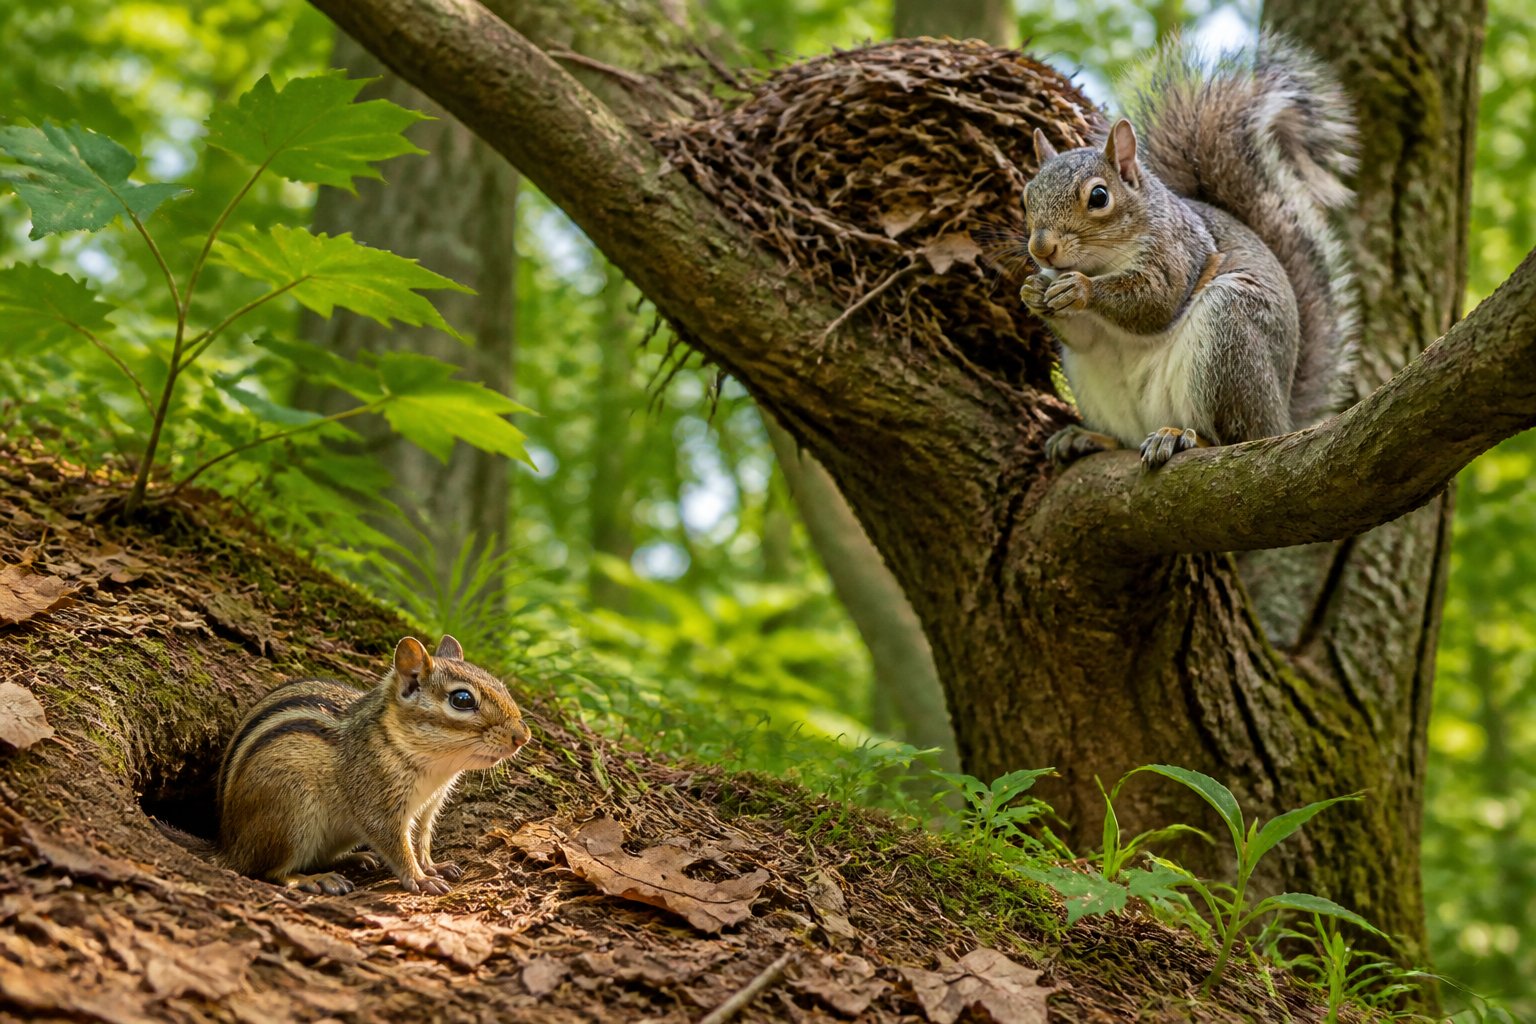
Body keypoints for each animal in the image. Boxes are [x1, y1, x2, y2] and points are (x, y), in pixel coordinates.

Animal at [215, 635, 531, 896]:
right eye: (462, 699)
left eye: (501, 686)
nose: (523, 736)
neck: (436, 768)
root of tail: (229, 846)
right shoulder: (376, 803)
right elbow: (397, 845)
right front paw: (420, 878)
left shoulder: (429, 805)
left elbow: (422, 839)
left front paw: (432, 865)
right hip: (291, 815)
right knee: (266, 870)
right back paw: (313, 879)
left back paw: (355, 857)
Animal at [1019, 32, 1358, 469]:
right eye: (1026, 197)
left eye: (1099, 197)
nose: (1042, 248)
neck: (1100, 262)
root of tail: (1280, 418)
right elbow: (1084, 336)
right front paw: (1032, 291)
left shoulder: (1178, 253)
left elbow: (1156, 302)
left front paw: (1080, 289)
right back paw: (1089, 438)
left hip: (1229, 337)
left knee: (1231, 437)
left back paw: (1182, 438)